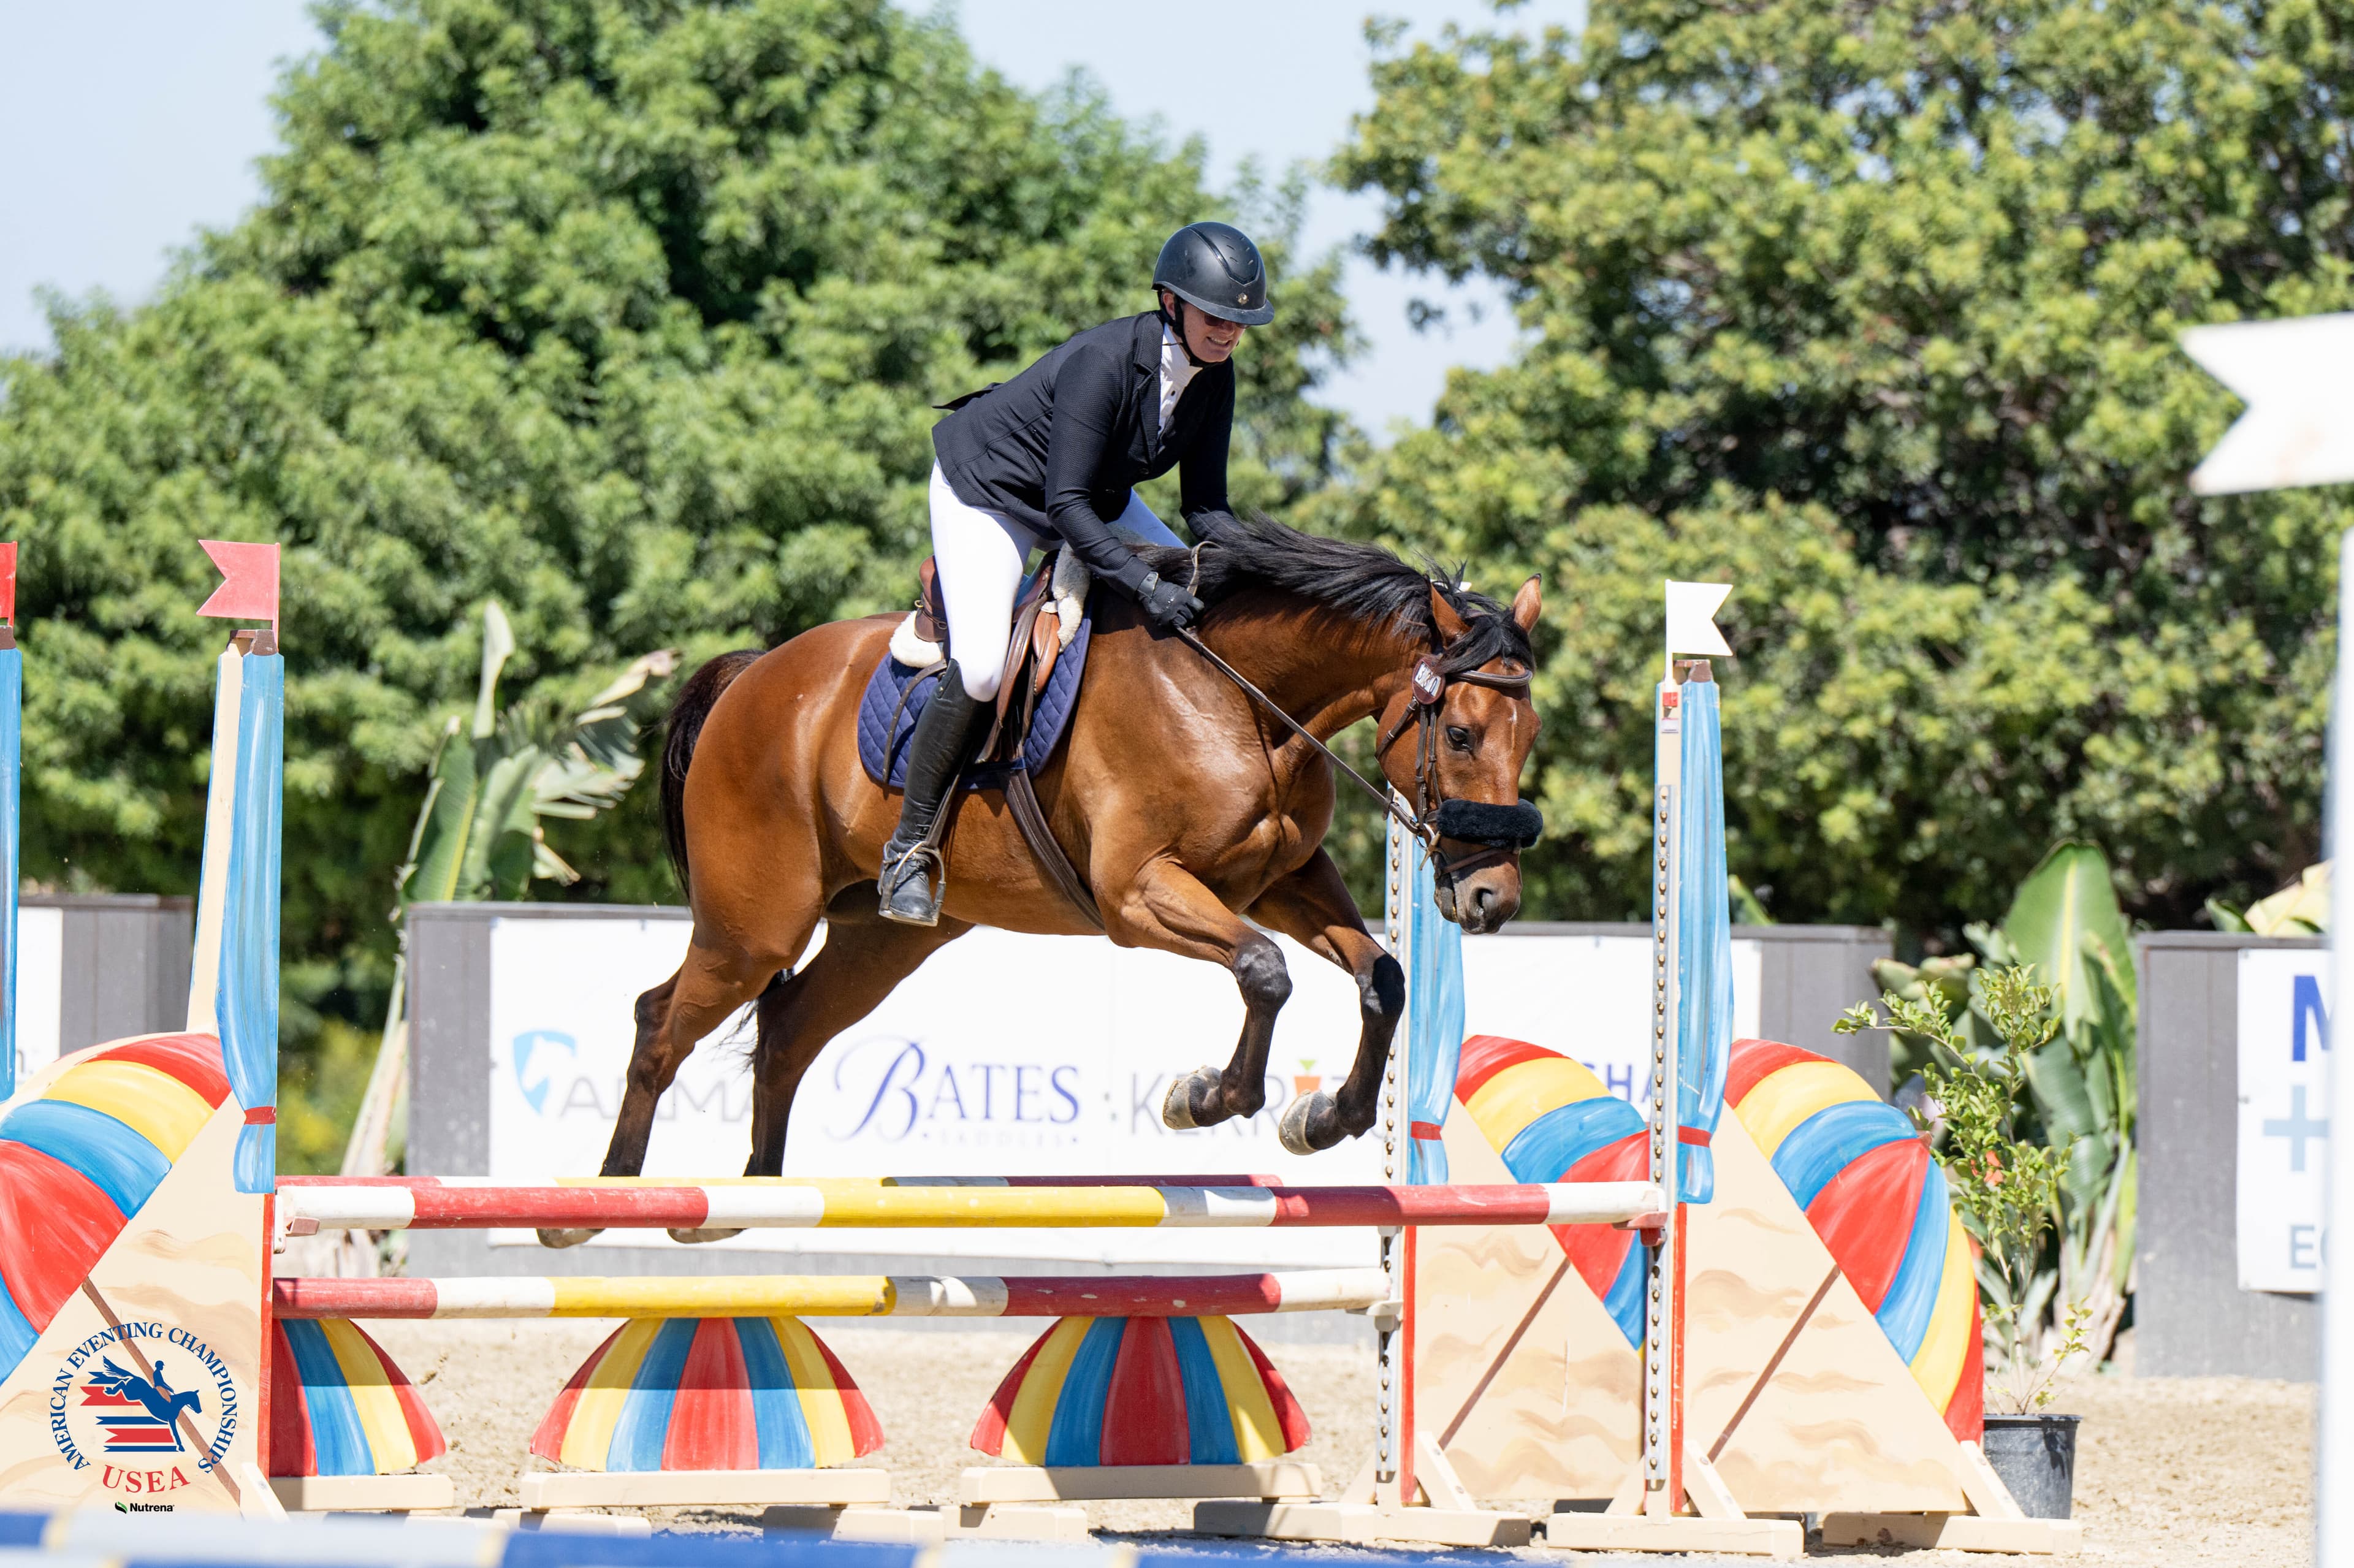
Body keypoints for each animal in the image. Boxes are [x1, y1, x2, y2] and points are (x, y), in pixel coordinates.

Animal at [541, 511, 1542, 1247]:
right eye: (1459, 734)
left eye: (1528, 736)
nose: (1491, 899)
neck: (1241, 699)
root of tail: (753, 676)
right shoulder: (1140, 892)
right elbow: (1265, 970)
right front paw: (1205, 1098)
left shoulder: (1279, 882)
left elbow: (1384, 974)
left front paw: (1325, 1116)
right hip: (755, 926)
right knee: (661, 1020)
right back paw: (597, 1202)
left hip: (878, 938)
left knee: (787, 1028)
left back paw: (745, 1200)